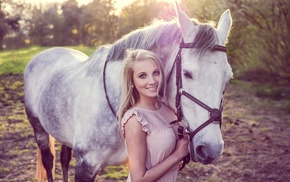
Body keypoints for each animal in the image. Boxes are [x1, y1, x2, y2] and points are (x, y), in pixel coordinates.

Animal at [24, 1, 233, 182]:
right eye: (187, 73)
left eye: (228, 77)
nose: (211, 149)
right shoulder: (86, 166)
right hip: (39, 128)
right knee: (48, 161)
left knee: (64, 159)